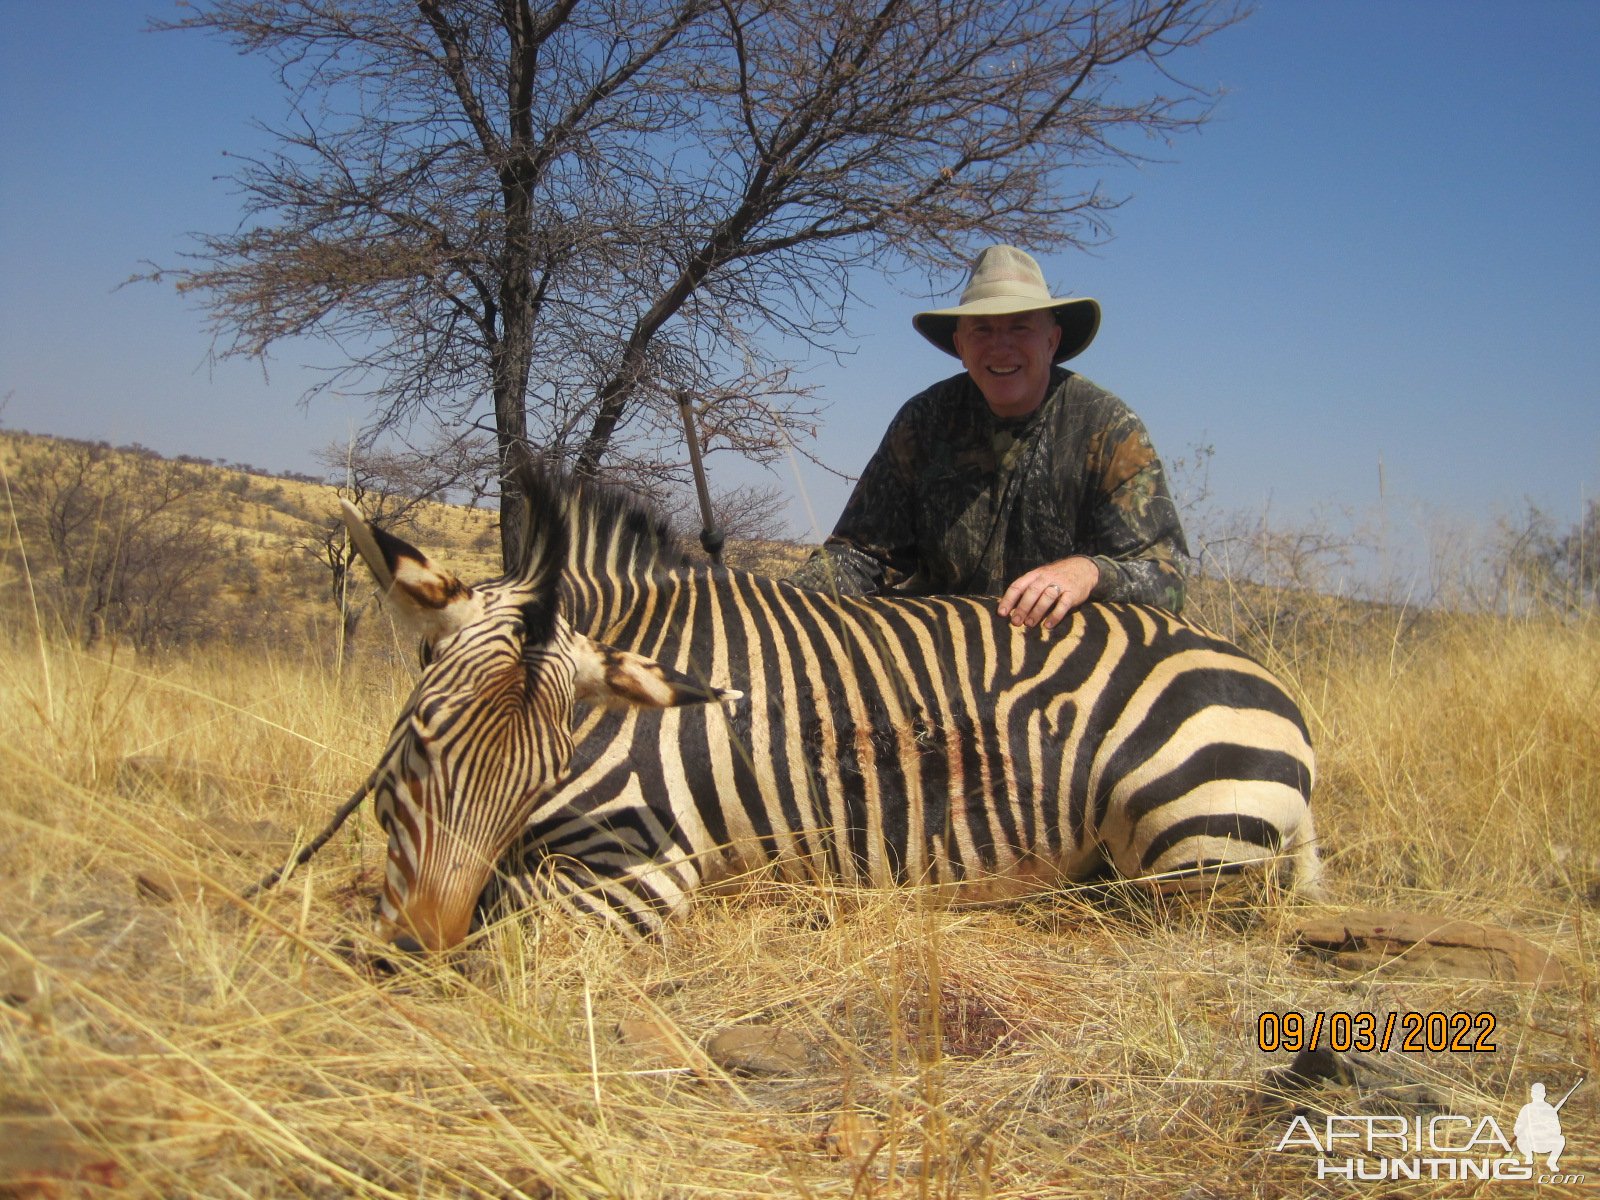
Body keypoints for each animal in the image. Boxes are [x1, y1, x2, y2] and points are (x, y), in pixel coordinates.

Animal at [340, 470, 1324, 947]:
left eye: (541, 773)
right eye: (417, 745)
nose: (415, 944)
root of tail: (1270, 684)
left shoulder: (640, 866)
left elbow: (509, 920)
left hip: (1177, 849)